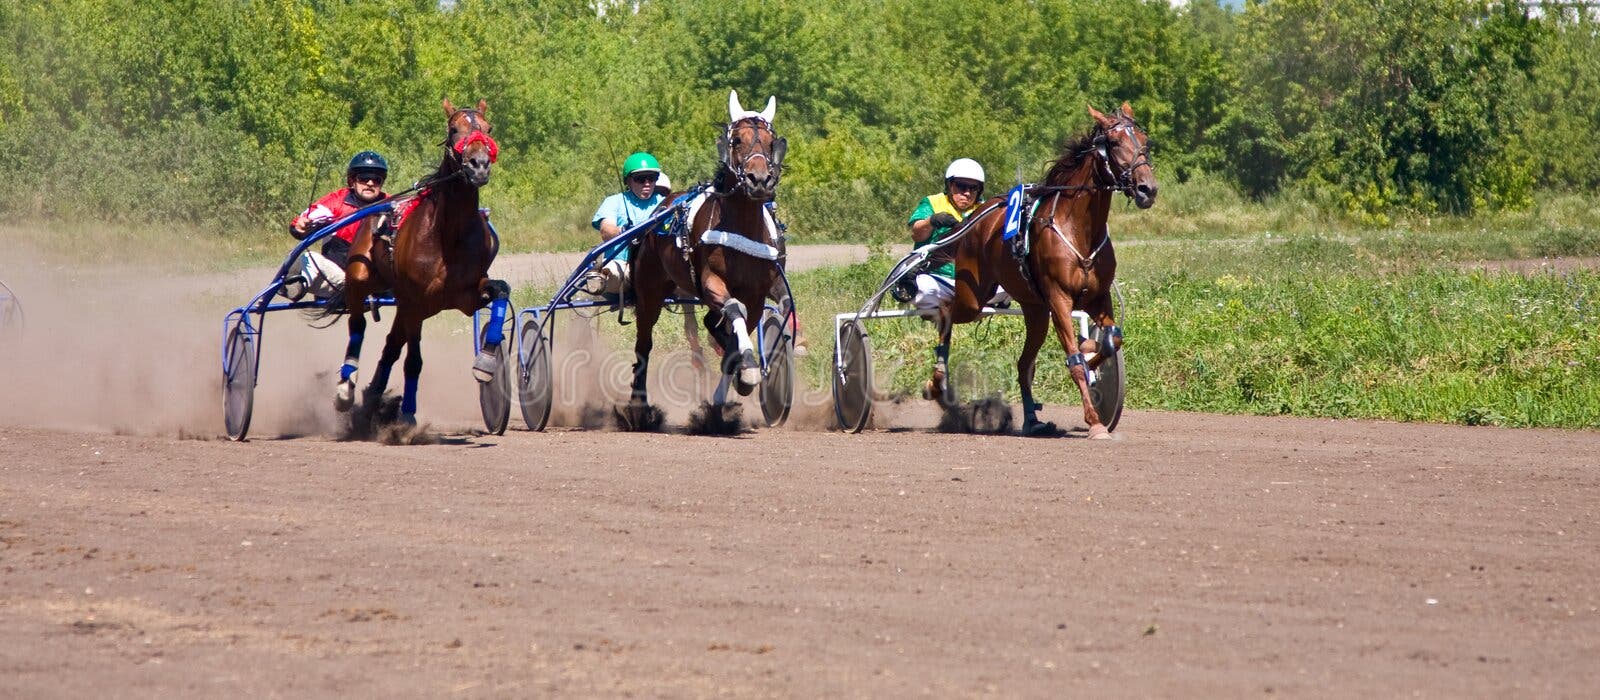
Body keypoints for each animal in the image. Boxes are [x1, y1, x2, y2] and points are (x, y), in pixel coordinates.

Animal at [334, 97, 508, 425]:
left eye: (488, 128)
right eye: (454, 129)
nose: (479, 165)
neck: (448, 235)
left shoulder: (466, 295)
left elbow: (501, 289)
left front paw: (487, 361)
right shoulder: (415, 301)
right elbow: (414, 360)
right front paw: (407, 416)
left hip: (406, 304)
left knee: (391, 345)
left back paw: (373, 396)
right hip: (362, 279)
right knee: (357, 324)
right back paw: (346, 388)